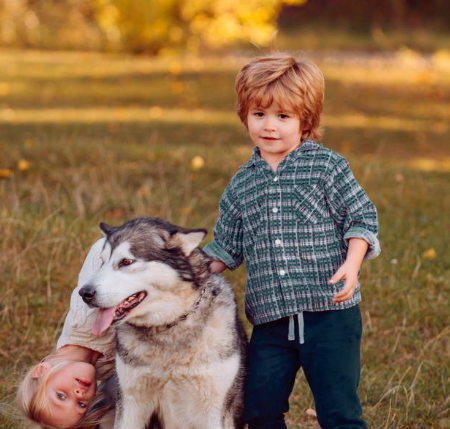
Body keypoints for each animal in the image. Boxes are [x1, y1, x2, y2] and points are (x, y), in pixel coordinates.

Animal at [79, 217, 248, 428]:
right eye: (102, 262)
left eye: (126, 261)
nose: (84, 293)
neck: (169, 327)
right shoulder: (131, 403)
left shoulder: (214, 410)